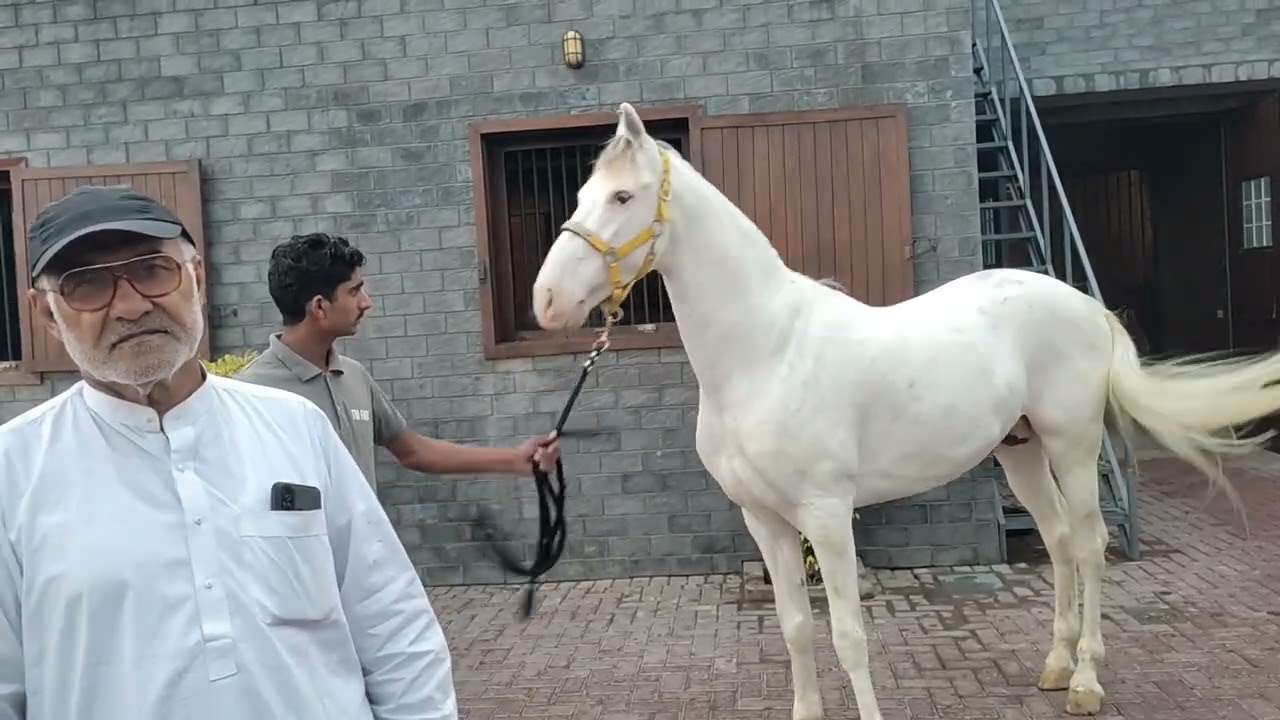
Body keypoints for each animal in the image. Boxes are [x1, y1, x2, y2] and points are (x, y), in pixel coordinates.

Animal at [529, 102, 1280, 719]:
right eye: (581, 194)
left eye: (622, 196)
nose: (547, 302)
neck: (766, 351)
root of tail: (1086, 305)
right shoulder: (763, 519)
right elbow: (795, 630)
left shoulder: (827, 516)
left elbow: (848, 635)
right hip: (1022, 451)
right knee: (1060, 541)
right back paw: (1054, 665)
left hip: (1072, 445)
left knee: (1092, 545)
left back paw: (1086, 683)